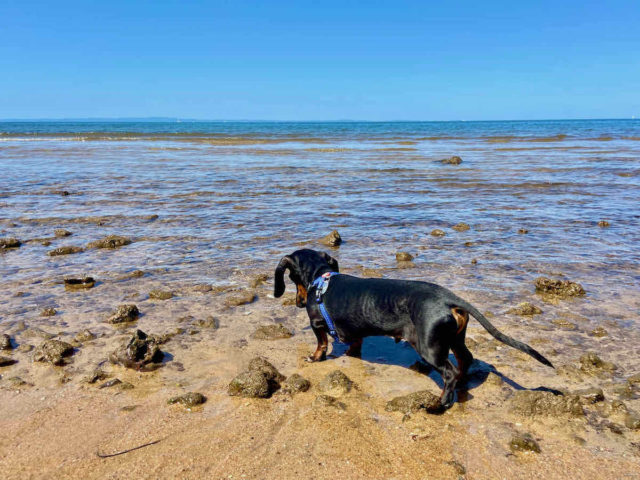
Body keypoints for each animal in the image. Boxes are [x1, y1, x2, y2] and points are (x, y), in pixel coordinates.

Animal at [272, 248, 552, 408]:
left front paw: (315, 357)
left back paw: (439, 404)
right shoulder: (356, 332)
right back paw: (461, 384)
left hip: (429, 347)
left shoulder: (316, 324)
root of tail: (449, 298)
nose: (298, 302)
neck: (322, 279)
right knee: (465, 358)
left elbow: (321, 343)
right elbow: (355, 343)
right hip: (454, 339)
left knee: (449, 372)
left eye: (292, 278)